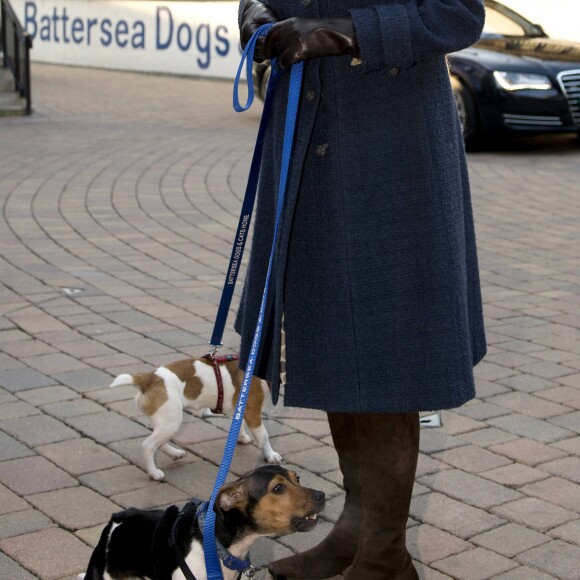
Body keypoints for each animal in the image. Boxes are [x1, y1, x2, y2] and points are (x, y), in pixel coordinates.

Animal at [111, 356, 284, 482]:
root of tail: (150, 377)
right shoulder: (253, 412)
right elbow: (264, 436)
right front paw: (271, 455)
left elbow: (238, 425)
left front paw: (242, 438)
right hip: (171, 421)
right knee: (148, 445)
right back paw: (154, 473)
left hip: (165, 422)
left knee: (159, 443)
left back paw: (176, 454)